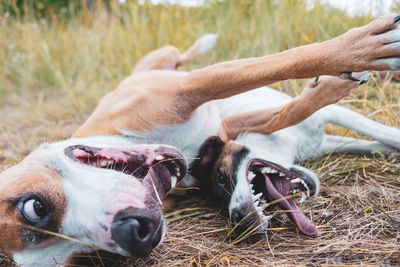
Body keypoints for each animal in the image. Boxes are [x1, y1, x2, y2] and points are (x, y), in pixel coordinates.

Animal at [2, 15, 400, 267]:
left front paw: (354, 56)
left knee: (180, 54)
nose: (135, 235)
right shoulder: (227, 126)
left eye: (34, 207)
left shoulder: (195, 90)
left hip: (165, 57)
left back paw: (204, 42)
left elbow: (283, 67)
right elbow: (286, 112)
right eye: (87, 258)